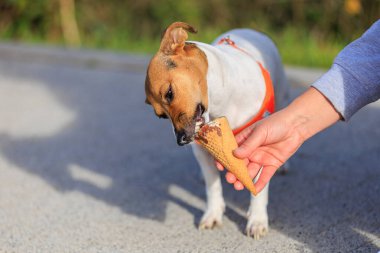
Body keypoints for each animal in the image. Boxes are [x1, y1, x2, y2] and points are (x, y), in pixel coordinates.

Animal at [144, 21, 290, 239]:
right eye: (160, 116)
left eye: (169, 93)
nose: (181, 140)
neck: (220, 102)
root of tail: (249, 30)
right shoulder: (201, 150)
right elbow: (212, 186)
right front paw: (213, 214)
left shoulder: (257, 140)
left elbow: (258, 187)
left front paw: (257, 220)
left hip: (282, 97)